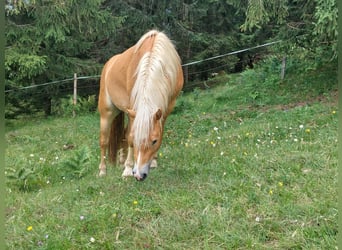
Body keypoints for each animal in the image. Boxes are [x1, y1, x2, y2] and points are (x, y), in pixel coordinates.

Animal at [97, 30, 183, 181]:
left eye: (154, 141)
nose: (139, 175)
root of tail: (109, 64)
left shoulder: (167, 107)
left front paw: (153, 162)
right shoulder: (134, 107)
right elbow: (130, 137)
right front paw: (127, 169)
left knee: (123, 134)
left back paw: (121, 161)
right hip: (107, 113)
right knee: (104, 141)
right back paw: (103, 171)